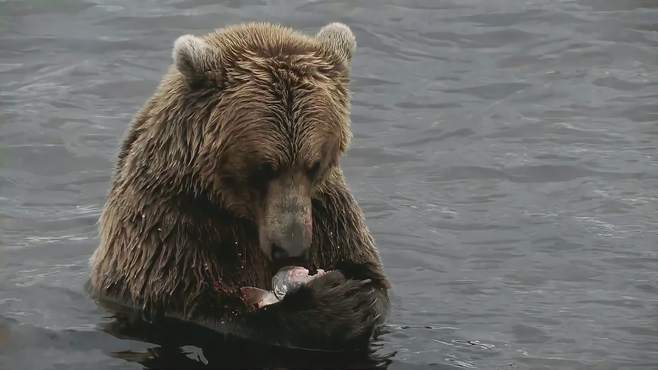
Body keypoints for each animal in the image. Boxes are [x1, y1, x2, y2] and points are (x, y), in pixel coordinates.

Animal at [85, 21, 386, 352]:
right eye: (264, 168)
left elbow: (368, 271)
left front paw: (360, 294)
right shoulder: (166, 221)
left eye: (314, 164)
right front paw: (331, 305)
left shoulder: (329, 212)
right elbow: (189, 303)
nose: (291, 249)